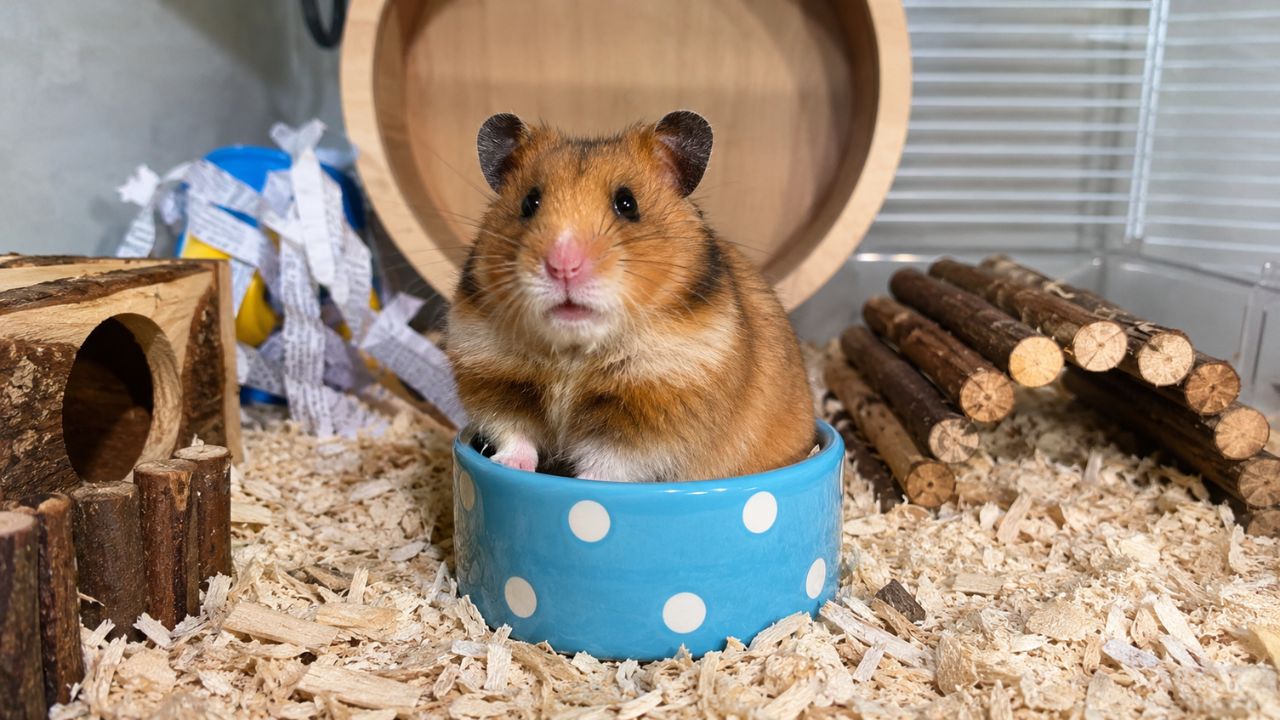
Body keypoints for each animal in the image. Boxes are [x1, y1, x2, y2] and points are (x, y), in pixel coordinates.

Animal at [445, 110, 814, 482]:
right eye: (529, 203)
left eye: (627, 203)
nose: (563, 266)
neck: (573, 355)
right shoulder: (494, 381)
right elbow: (514, 433)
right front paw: (507, 467)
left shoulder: (655, 410)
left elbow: (609, 462)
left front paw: (583, 485)